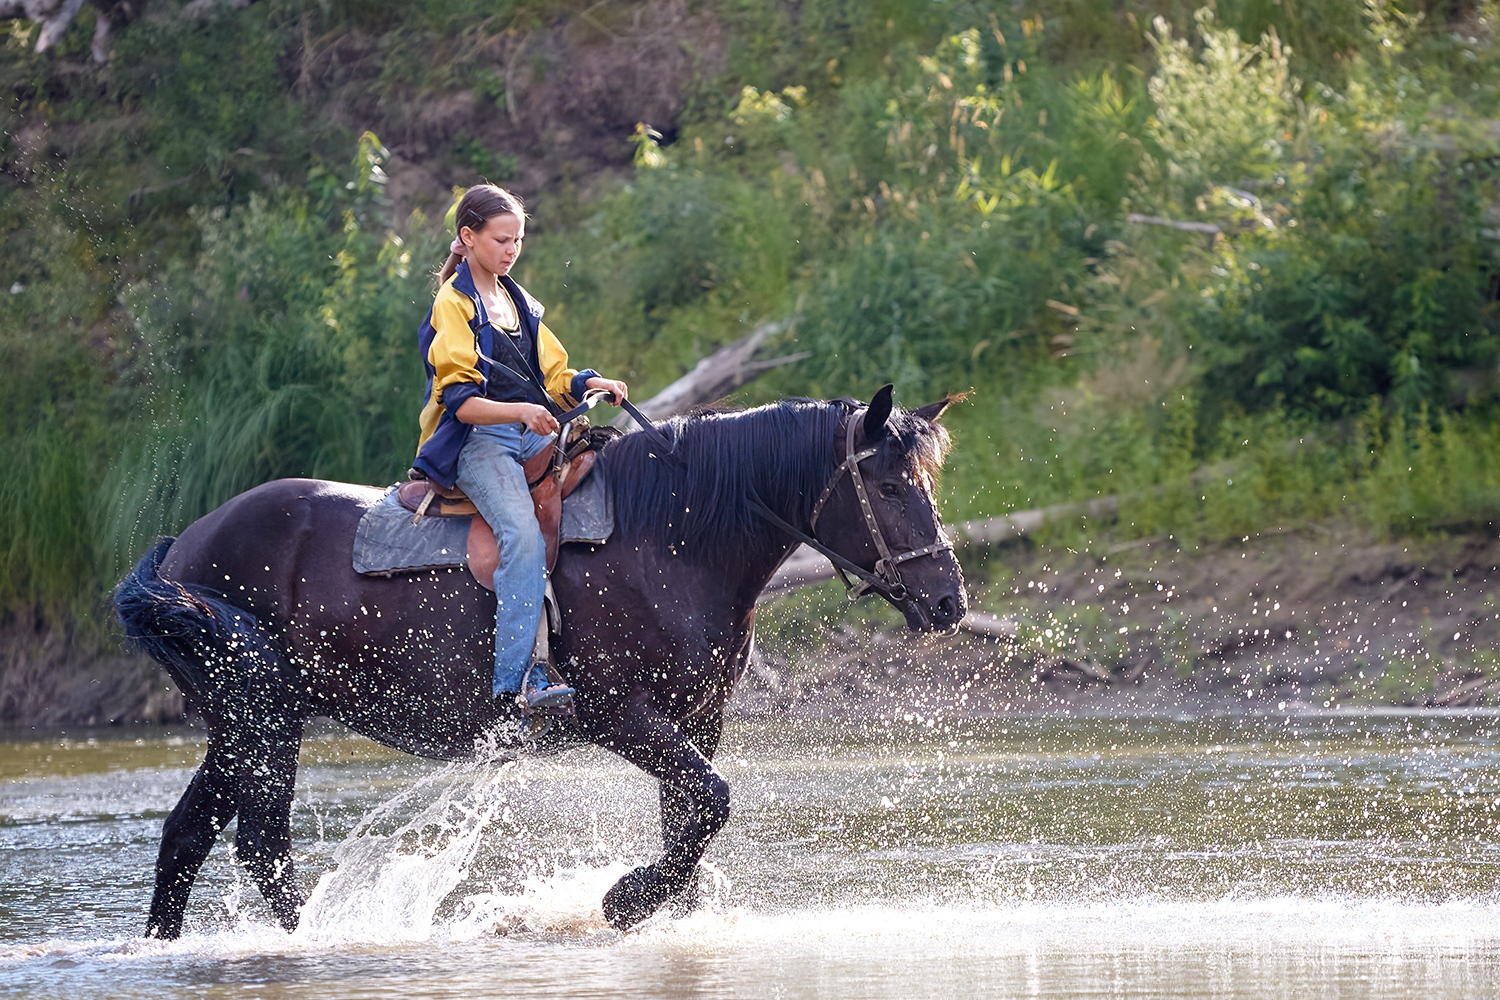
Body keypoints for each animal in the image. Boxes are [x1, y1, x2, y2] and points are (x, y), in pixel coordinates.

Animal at [114, 389, 960, 941]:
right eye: (889, 484)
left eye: (927, 481)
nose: (949, 599)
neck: (671, 538)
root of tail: (182, 550)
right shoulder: (620, 714)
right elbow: (712, 803)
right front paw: (624, 901)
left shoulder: (698, 720)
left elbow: (689, 819)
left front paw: (663, 911)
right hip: (262, 723)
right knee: (261, 848)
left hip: (241, 730)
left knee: (187, 836)